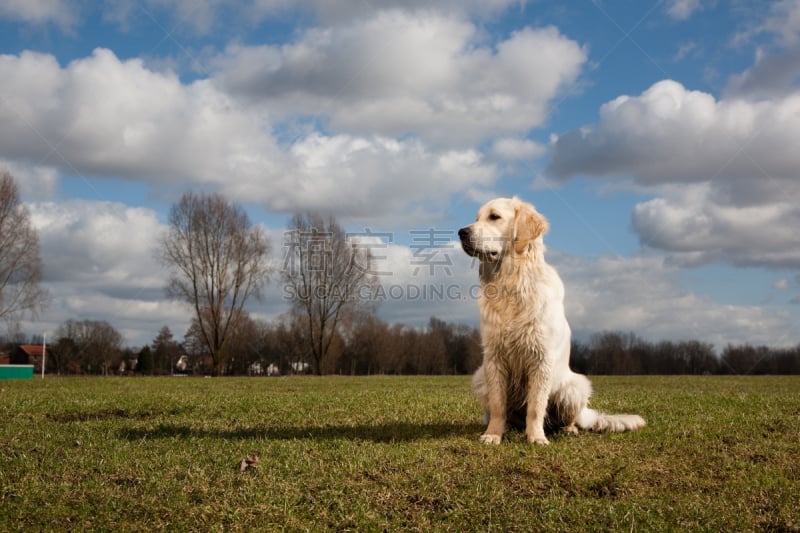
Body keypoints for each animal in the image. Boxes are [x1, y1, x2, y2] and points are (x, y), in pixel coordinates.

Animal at [456, 196, 644, 444]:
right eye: (476, 218)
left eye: (494, 217)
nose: (461, 232)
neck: (512, 285)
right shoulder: (494, 357)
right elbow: (498, 405)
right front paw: (493, 435)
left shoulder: (541, 358)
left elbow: (536, 407)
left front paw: (536, 438)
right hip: (479, 377)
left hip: (575, 386)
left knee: (567, 418)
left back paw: (568, 429)